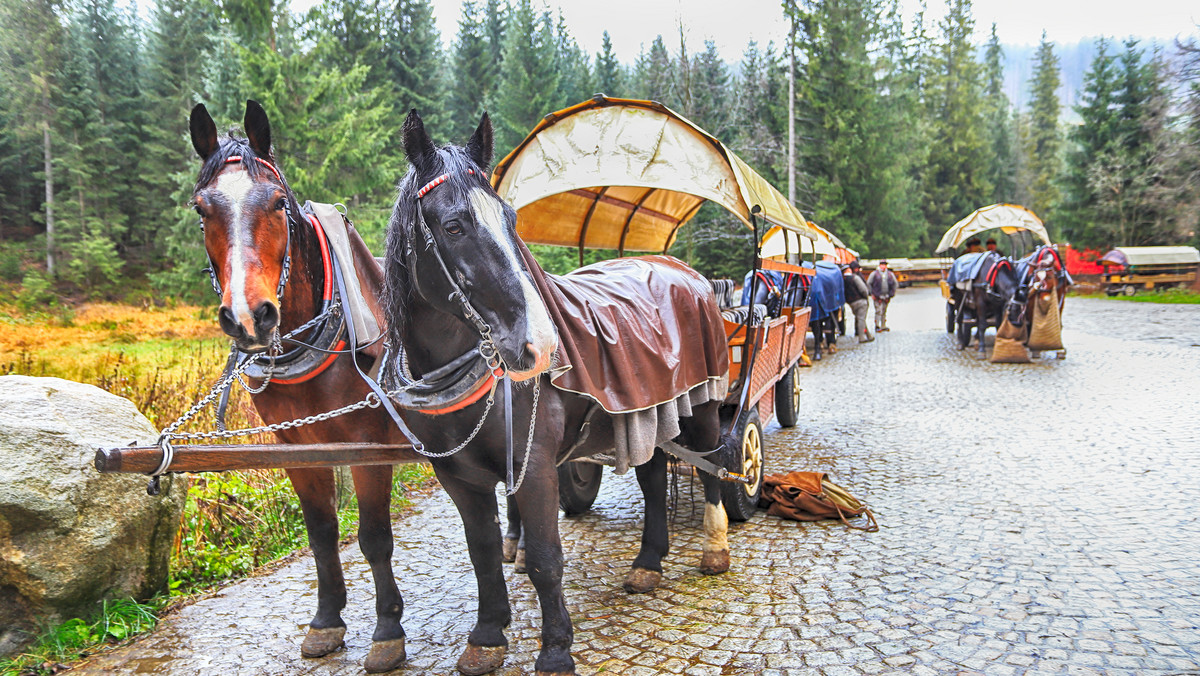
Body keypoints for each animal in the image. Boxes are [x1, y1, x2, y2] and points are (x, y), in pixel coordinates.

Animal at [189, 99, 420, 672]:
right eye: (202, 209)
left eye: (276, 202)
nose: (249, 317)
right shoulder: (296, 447)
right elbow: (321, 533)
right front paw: (326, 620)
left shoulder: (367, 445)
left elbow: (374, 537)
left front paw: (387, 630)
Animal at [379, 111, 729, 676]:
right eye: (453, 226)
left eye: (511, 220)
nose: (541, 345)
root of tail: (680, 268)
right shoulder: (459, 477)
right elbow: (482, 554)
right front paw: (487, 636)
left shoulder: (535, 464)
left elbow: (545, 557)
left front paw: (557, 648)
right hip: (646, 411)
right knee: (655, 476)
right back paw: (649, 562)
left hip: (703, 404)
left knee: (713, 463)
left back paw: (715, 548)